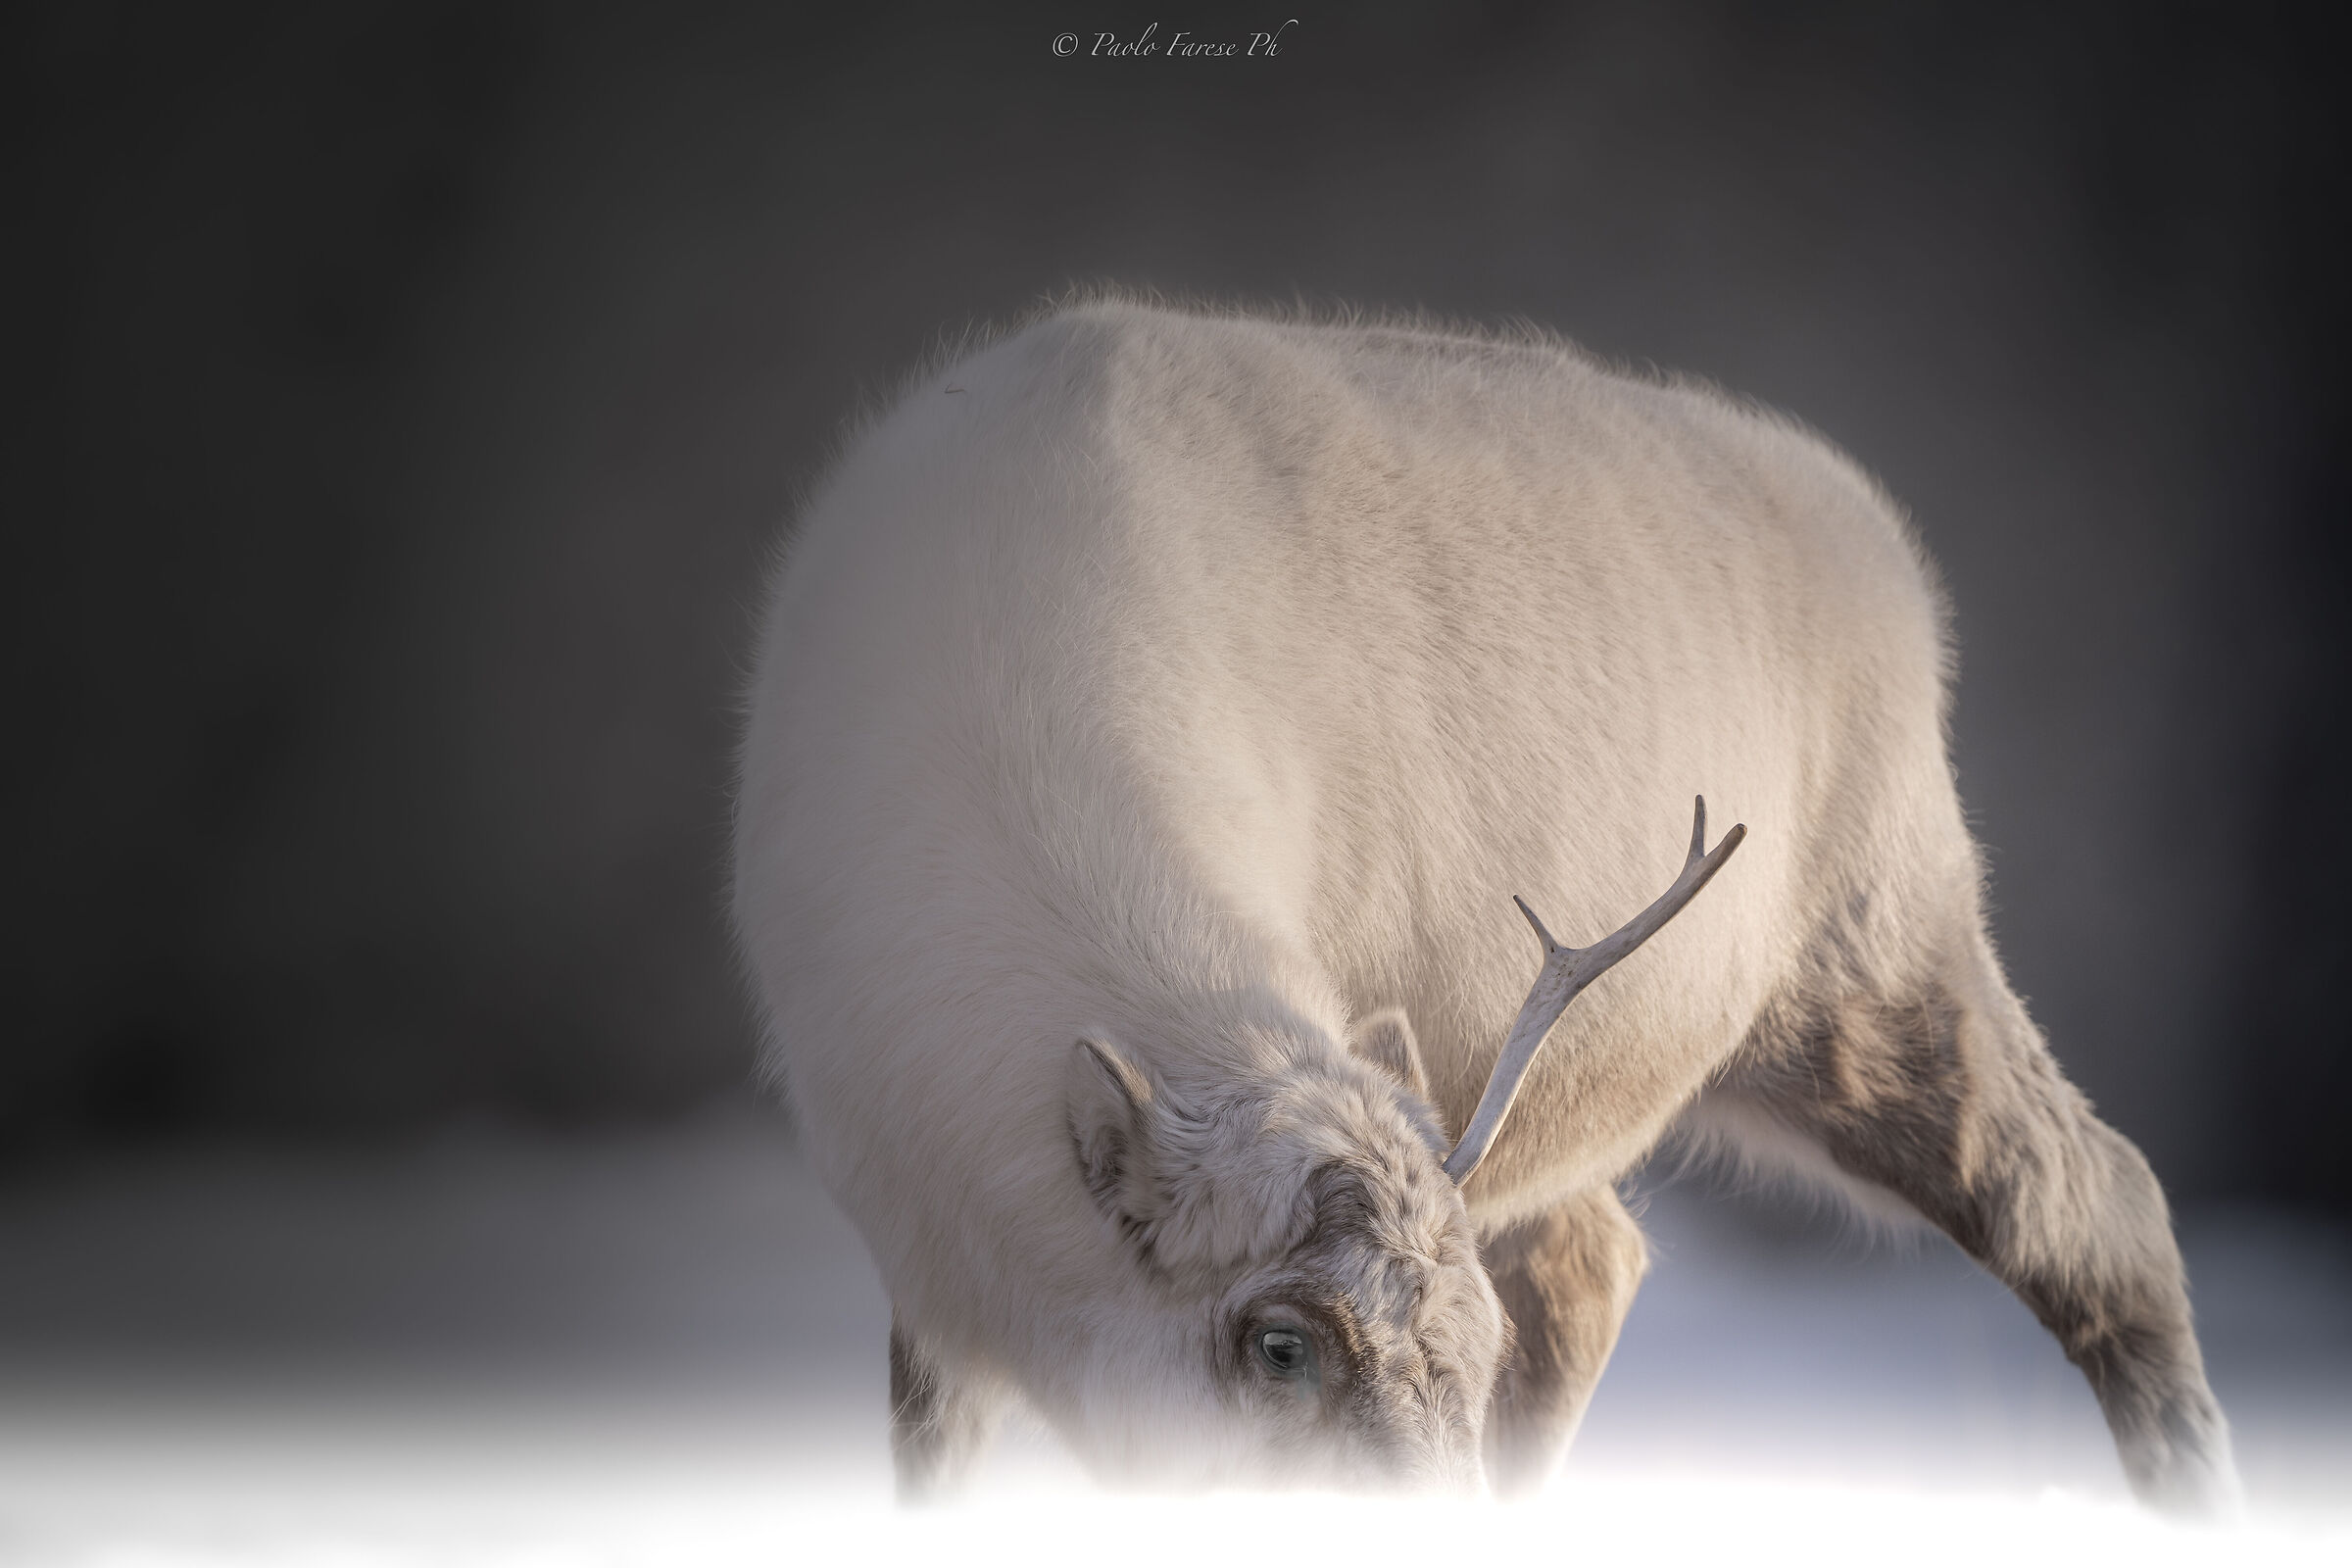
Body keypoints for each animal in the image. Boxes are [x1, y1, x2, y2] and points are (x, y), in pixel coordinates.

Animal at [729, 294, 2237, 1510]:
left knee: (2094, 1202)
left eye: (1462, 1351)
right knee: (1594, 1259)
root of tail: (1892, 557)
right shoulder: (931, 1268)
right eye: (1282, 1345)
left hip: (1876, 947)